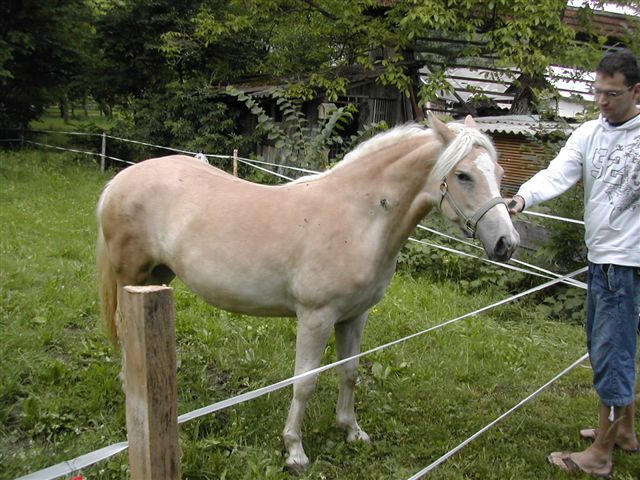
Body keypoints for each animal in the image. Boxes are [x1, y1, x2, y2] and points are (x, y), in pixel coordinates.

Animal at [99, 114, 520, 470]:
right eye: (463, 175)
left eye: (499, 172)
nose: (506, 243)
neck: (358, 216)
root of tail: (122, 179)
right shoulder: (316, 318)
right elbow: (305, 382)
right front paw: (295, 451)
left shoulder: (355, 316)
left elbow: (349, 372)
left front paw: (352, 430)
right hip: (131, 275)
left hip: (160, 275)